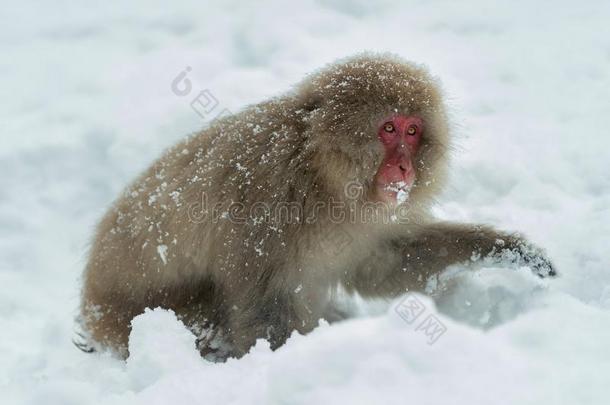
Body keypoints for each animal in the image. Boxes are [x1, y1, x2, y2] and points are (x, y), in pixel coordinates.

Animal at [78, 53, 552, 360]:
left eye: (413, 130)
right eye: (388, 128)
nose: (404, 166)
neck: (322, 176)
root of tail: (92, 306)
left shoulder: (363, 221)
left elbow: (381, 266)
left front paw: (506, 249)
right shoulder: (267, 197)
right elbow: (263, 305)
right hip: (133, 319)